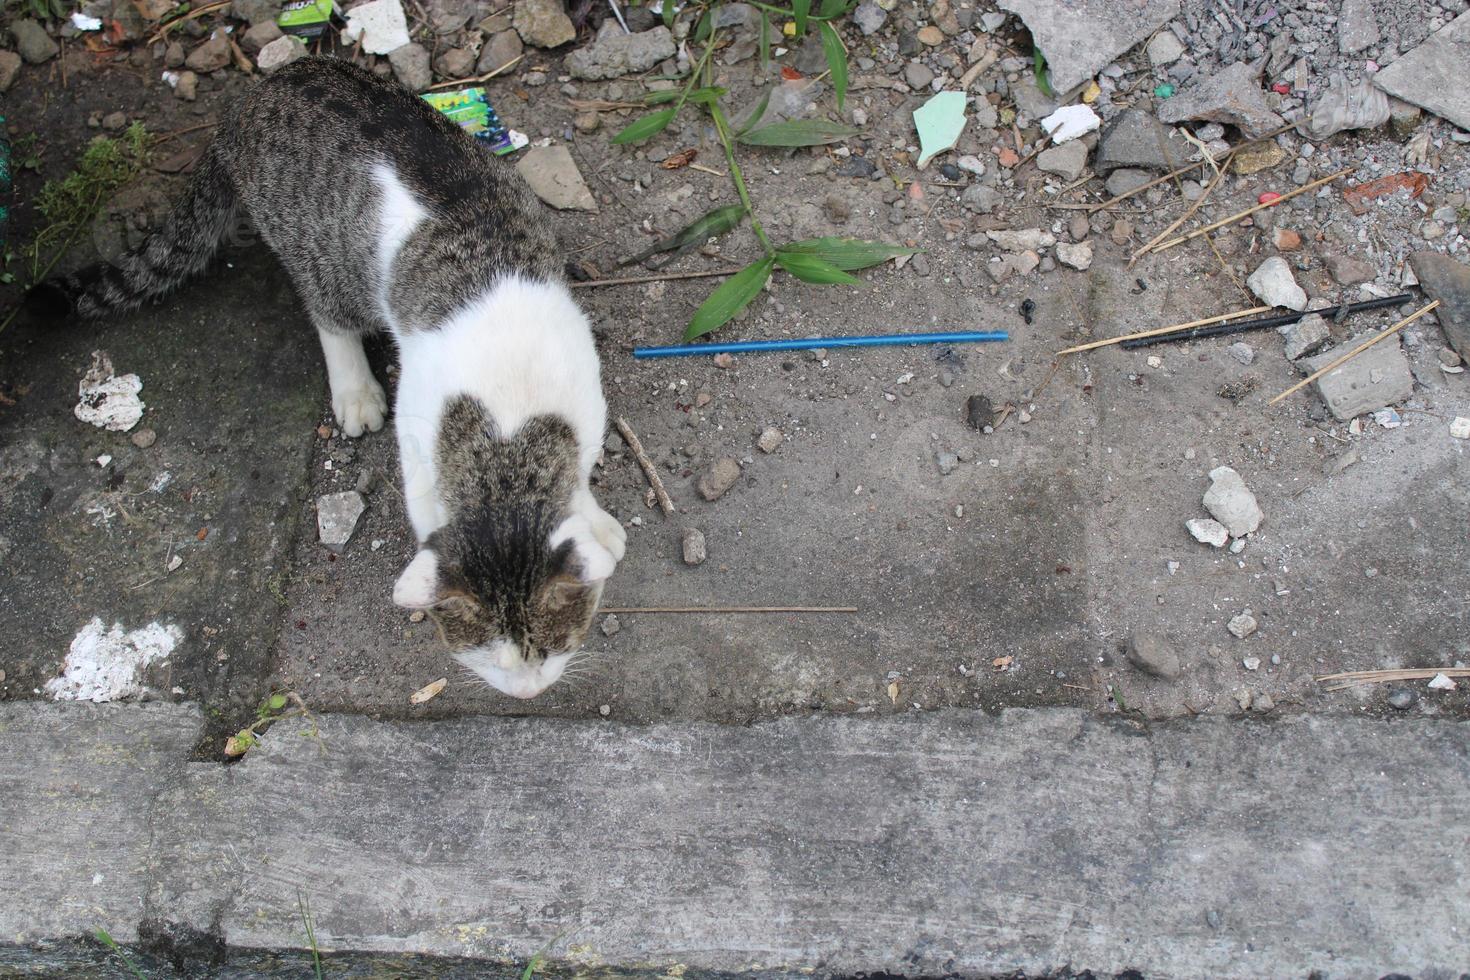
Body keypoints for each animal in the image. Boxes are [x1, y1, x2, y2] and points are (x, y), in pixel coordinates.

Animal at [41, 57, 626, 702]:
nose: (527, 693)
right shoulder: (420, 439)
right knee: (328, 313)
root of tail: (257, 94)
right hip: (320, 257)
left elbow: (582, 479)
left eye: (552, 648)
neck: (508, 432)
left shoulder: (584, 400)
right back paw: (355, 389)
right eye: (486, 658)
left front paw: (595, 521)